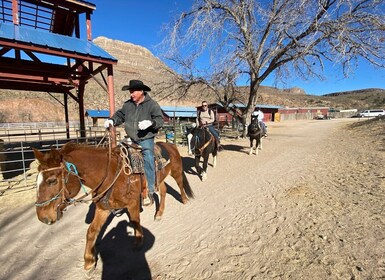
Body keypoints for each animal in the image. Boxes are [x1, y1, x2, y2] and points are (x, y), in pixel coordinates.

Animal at [33, 142, 194, 274]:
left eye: (52, 180)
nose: (43, 217)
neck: (111, 175)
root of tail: (170, 145)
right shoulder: (103, 208)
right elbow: (92, 231)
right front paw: (89, 261)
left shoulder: (133, 204)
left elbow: (135, 221)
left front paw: (138, 241)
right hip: (159, 179)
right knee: (164, 190)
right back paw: (159, 213)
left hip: (176, 171)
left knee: (180, 184)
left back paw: (185, 199)